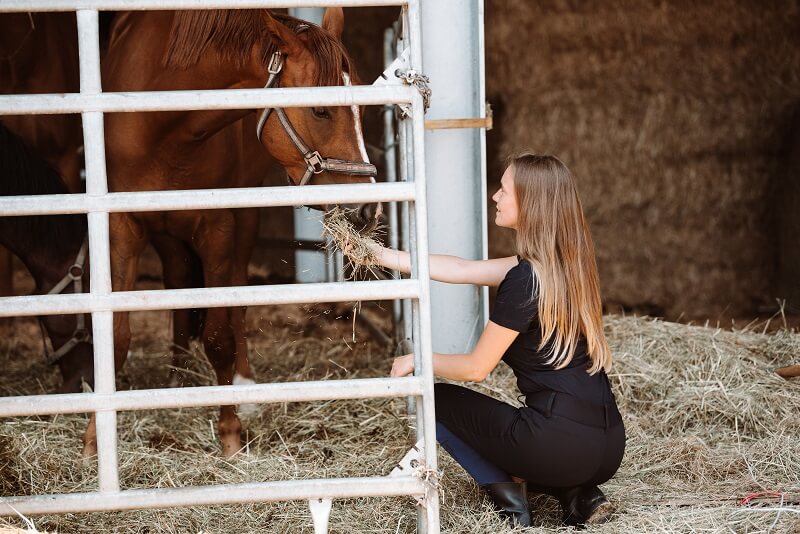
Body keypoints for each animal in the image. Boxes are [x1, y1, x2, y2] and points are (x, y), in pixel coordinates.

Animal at [84, 8, 378, 458]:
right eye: (321, 111)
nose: (366, 208)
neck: (162, 119)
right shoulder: (123, 227)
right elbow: (115, 339)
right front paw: (93, 441)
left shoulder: (218, 225)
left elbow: (220, 336)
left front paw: (230, 433)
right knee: (177, 280)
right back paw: (177, 376)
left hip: (244, 218)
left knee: (237, 297)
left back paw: (241, 383)